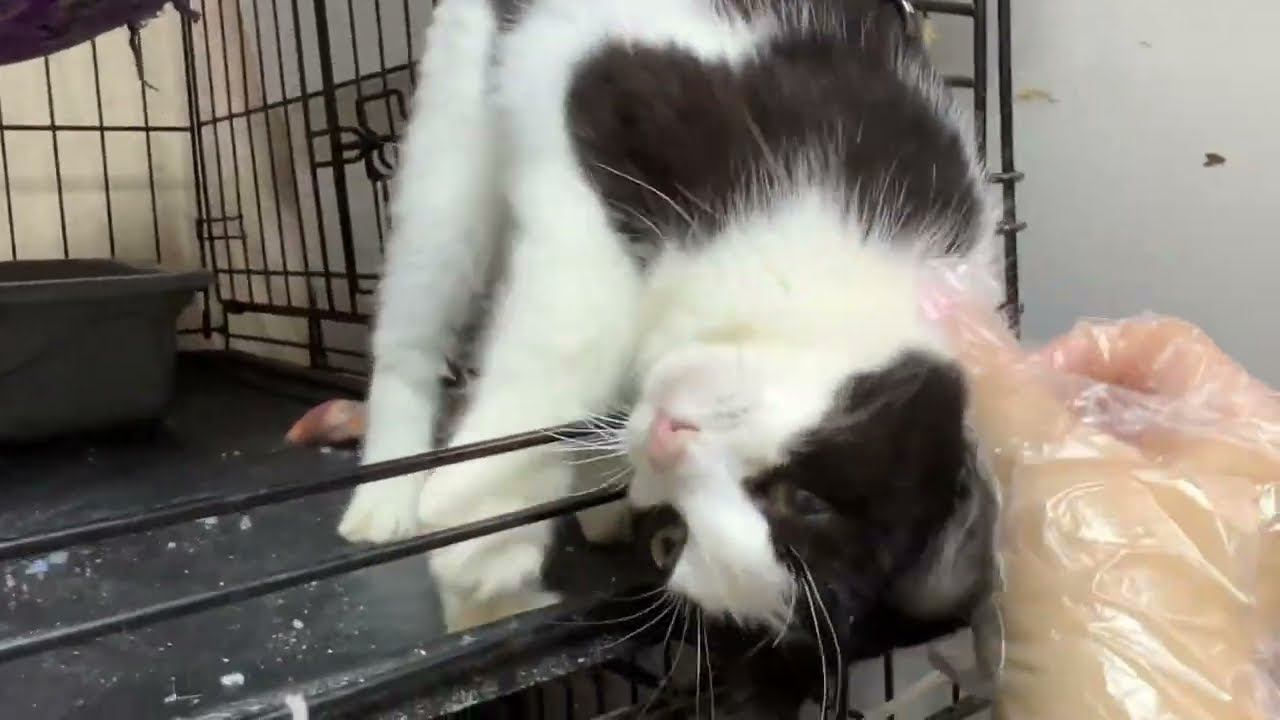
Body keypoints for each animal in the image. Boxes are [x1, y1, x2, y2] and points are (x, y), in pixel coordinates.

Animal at [337, 0, 1003, 704]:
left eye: (671, 539)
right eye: (802, 498)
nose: (669, 437)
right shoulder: (621, 105)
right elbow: (577, 326)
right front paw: (478, 530)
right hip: (455, 130)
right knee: (418, 303)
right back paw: (384, 497)